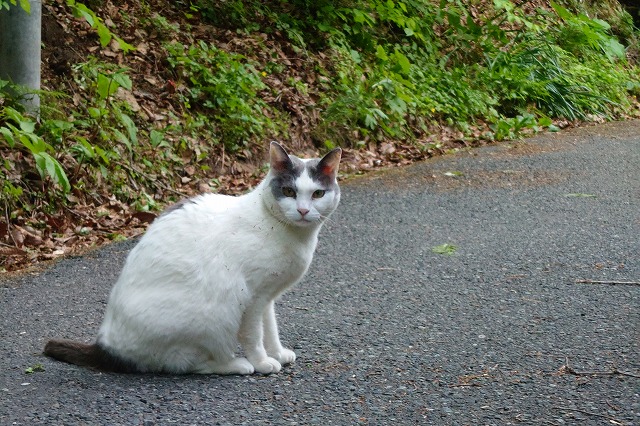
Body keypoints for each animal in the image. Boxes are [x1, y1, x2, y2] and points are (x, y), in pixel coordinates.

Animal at [45, 141, 342, 374]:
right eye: (289, 192)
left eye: (317, 194)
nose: (303, 211)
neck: (290, 234)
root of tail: (106, 347)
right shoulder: (253, 298)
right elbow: (253, 335)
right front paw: (263, 362)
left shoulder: (267, 297)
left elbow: (270, 328)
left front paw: (278, 352)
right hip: (218, 312)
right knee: (188, 364)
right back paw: (238, 364)